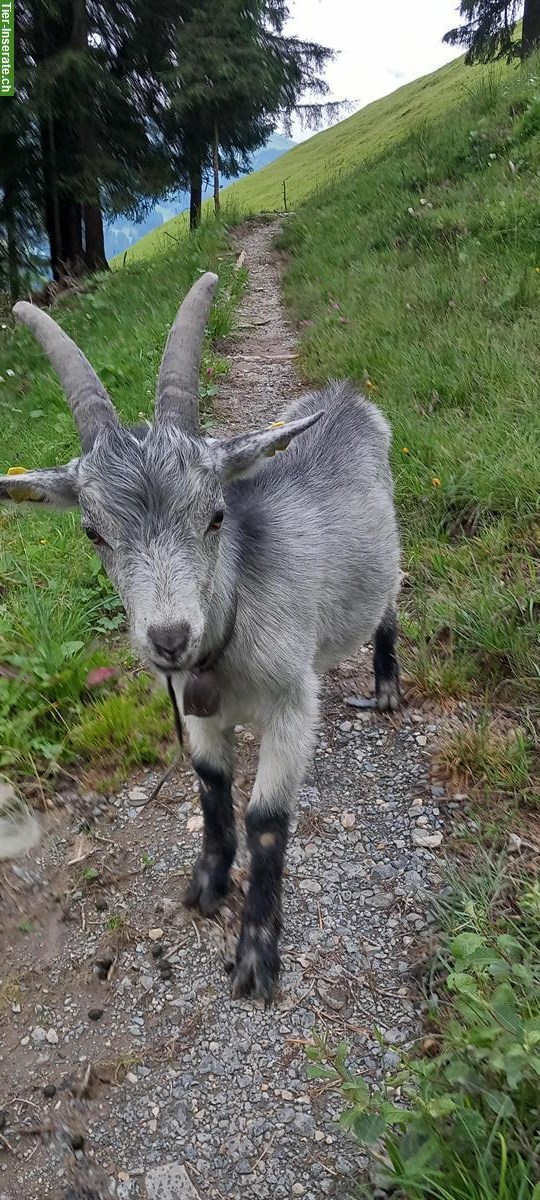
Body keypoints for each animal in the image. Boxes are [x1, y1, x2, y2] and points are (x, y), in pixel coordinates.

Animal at [1, 274, 400, 1003]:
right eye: (93, 532)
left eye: (216, 515)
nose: (168, 637)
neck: (231, 626)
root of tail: (344, 396)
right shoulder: (197, 707)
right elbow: (213, 788)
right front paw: (206, 887)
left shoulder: (292, 700)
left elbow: (266, 823)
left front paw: (255, 955)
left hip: (391, 545)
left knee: (390, 602)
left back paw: (386, 683)